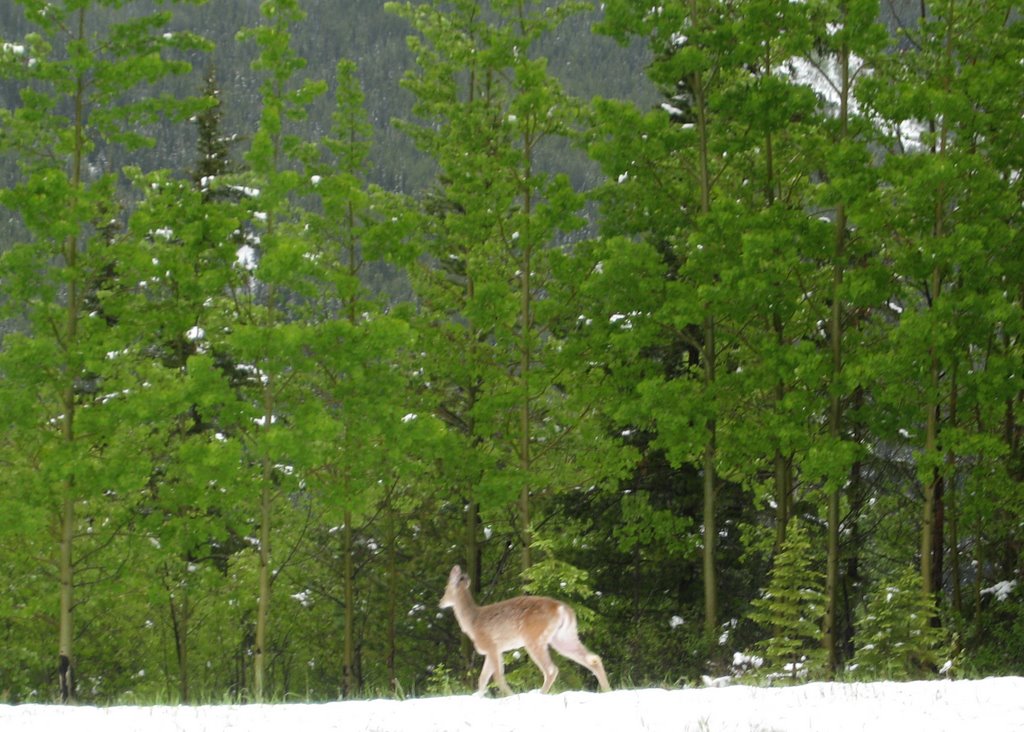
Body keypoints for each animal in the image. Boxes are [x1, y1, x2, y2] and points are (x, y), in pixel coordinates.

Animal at [438, 565, 610, 700]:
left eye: (446, 589)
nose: (440, 602)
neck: (472, 622)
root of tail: (561, 608)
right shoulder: (494, 650)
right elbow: (483, 679)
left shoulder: (491, 646)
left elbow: (497, 677)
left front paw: (511, 696)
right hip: (564, 637)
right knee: (593, 658)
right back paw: (607, 690)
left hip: (534, 638)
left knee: (551, 669)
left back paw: (540, 695)